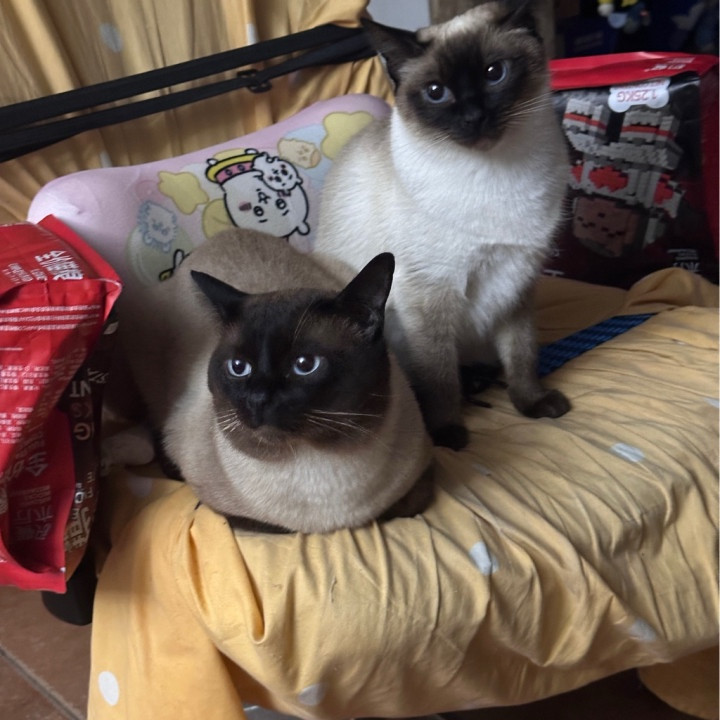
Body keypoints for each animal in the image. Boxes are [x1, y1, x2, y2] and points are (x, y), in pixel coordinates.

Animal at [111, 228, 433, 533]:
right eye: (238, 367)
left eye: (305, 365)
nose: (257, 399)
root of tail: (226, 233)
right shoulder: (227, 509)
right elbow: (263, 524)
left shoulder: (423, 470)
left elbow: (408, 505)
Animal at [311, 0, 571, 451]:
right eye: (436, 92)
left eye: (494, 72)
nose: (473, 117)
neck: (497, 174)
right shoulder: (431, 293)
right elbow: (440, 377)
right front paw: (448, 434)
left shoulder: (518, 279)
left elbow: (523, 355)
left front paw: (533, 404)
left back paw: (482, 379)